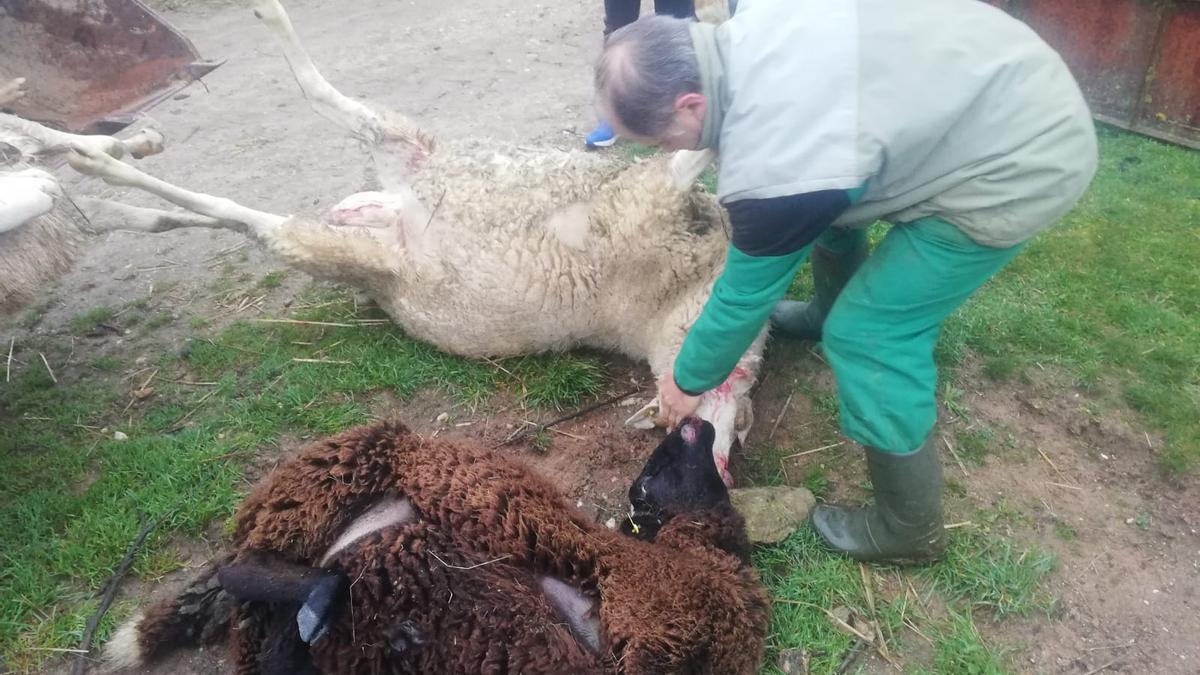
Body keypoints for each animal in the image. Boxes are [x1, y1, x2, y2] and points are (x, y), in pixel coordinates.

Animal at [60, 0, 763, 482]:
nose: (724, 470)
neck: (683, 299)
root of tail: (397, 201)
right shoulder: (652, 194)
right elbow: (699, 151)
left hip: (368, 242)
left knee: (256, 212)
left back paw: (104, 189)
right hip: (415, 154)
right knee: (306, 124)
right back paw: (101, 166)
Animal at [108, 417, 772, 667]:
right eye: (649, 475)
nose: (695, 422)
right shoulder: (653, 618)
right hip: (339, 471)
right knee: (244, 566)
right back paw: (320, 602)